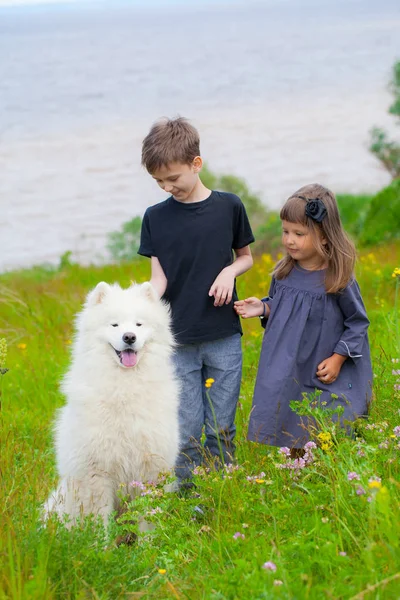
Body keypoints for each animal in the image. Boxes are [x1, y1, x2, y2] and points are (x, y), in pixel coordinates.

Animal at [44, 282, 180, 524]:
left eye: (138, 324)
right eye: (114, 324)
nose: (129, 337)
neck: (125, 386)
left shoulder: (150, 469)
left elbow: (147, 519)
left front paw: (151, 536)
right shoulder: (95, 474)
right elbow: (98, 520)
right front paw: (100, 537)